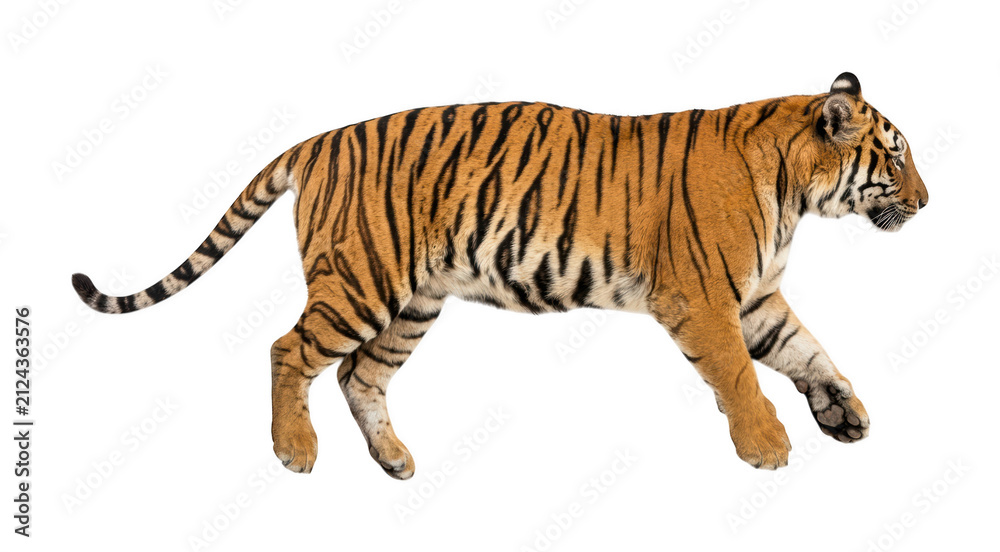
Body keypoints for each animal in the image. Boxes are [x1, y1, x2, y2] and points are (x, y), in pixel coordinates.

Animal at [72, 72, 928, 477]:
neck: (796, 191)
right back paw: (295, 450)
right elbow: (744, 378)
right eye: (894, 157)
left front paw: (844, 414)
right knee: (290, 350)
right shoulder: (704, 301)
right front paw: (768, 446)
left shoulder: (755, 300)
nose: (927, 201)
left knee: (358, 374)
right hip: (360, 283)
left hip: (413, 301)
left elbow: (810, 353)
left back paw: (394, 461)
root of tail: (319, 140)